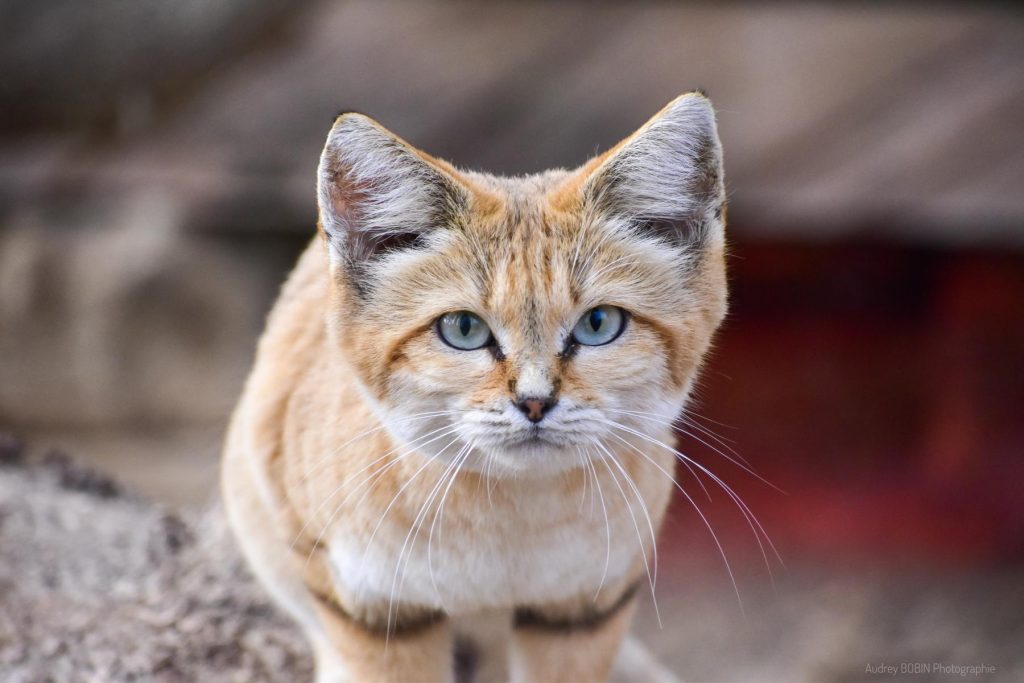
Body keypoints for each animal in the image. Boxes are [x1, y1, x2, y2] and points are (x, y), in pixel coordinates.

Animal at [226, 92, 729, 683]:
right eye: (463, 329)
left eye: (599, 324)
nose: (534, 402)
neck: (509, 525)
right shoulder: (374, 607)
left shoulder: (583, 609)